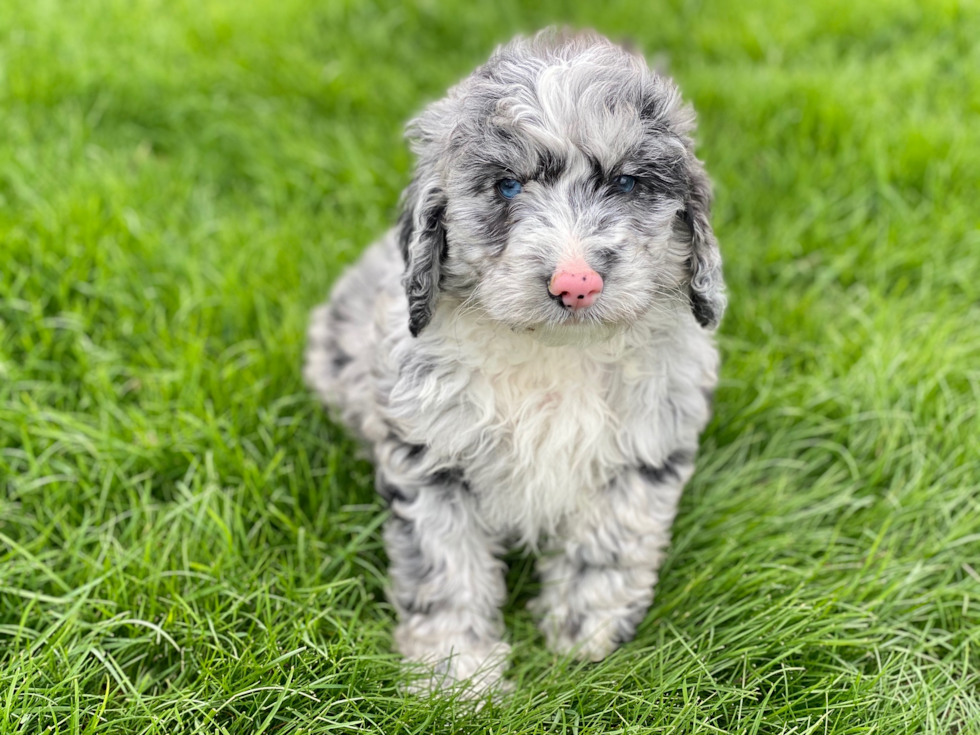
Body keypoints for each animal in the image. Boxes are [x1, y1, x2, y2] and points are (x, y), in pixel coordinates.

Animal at [302, 28, 724, 696]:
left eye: (627, 183)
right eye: (507, 186)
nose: (576, 283)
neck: (553, 355)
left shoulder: (644, 448)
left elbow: (609, 544)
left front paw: (583, 635)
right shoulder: (431, 460)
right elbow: (447, 570)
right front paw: (456, 678)